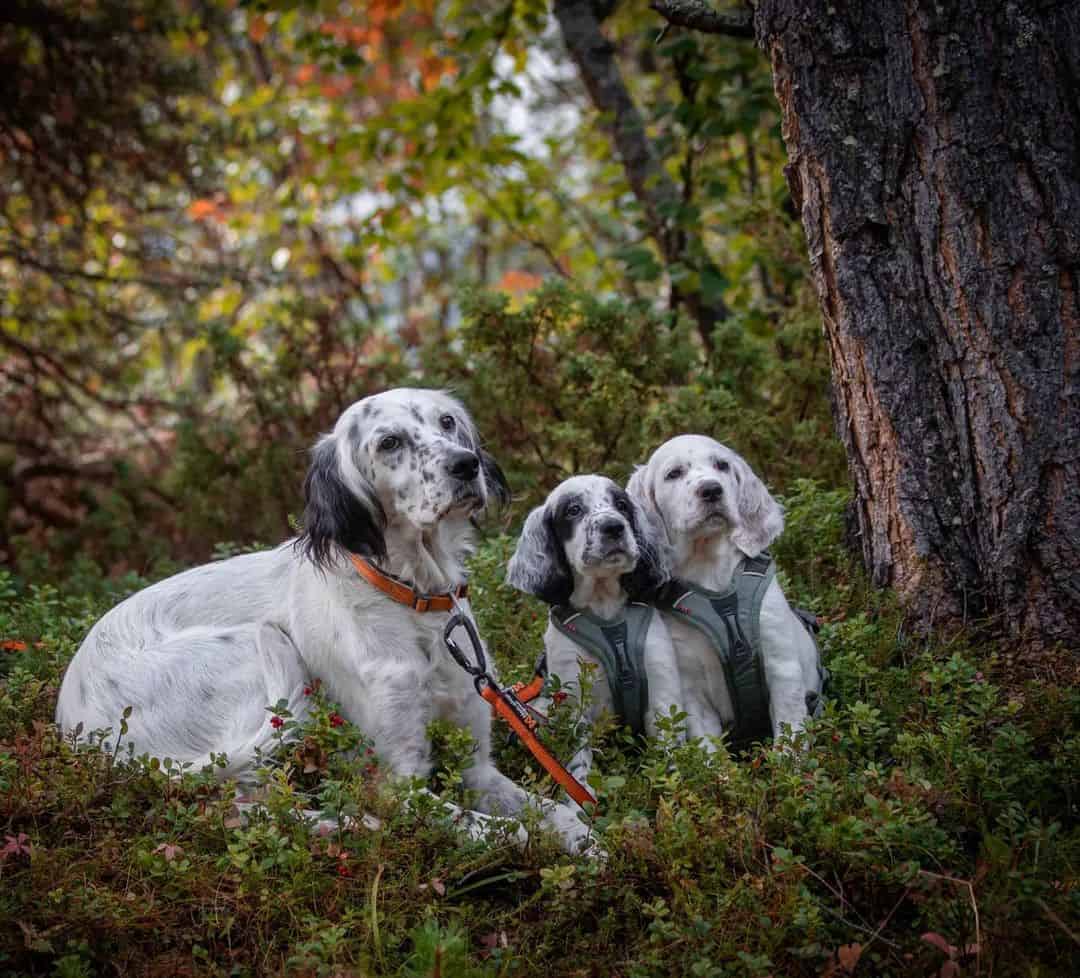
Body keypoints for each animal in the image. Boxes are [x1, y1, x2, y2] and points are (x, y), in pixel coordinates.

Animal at [58, 384, 591, 850]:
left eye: (447, 422)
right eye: (389, 442)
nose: (466, 464)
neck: (413, 598)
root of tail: (75, 722)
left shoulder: (476, 765)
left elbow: (562, 814)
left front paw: (597, 846)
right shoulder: (399, 787)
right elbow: (507, 830)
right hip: (251, 659)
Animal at [505, 470, 682, 777]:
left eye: (622, 505)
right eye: (573, 510)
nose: (614, 527)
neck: (603, 606)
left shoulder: (662, 689)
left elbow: (670, 755)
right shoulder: (574, 700)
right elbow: (579, 763)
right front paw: (580, 792)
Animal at [630, 433, 820, 746]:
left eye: (722, 465)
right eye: (674, 473)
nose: (711, 490)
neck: (708, 569)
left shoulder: (782, 666)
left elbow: (789, 731)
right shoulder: (690, 689)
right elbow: (707, 748)